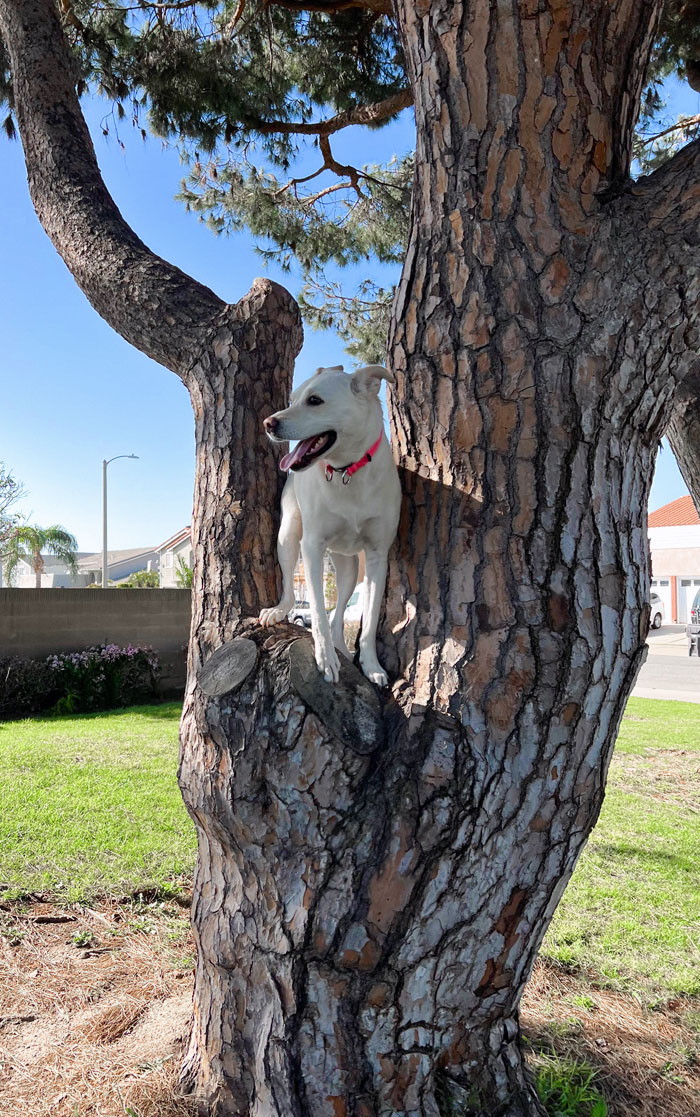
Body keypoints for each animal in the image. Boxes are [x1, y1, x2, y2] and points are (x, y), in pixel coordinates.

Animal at [259, 361, 401, 683]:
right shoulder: (312, 548)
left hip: (349, 566)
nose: (268, 423)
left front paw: (371, 665)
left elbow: (369, 618)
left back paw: (343, 649)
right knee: (291, 589)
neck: (347, 470)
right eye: (293, 399)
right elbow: (317, 611)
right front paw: (324, 658)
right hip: (288, 537)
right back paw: (278, 610)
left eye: (315, 400)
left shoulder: (377, 557)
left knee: (339, 614)